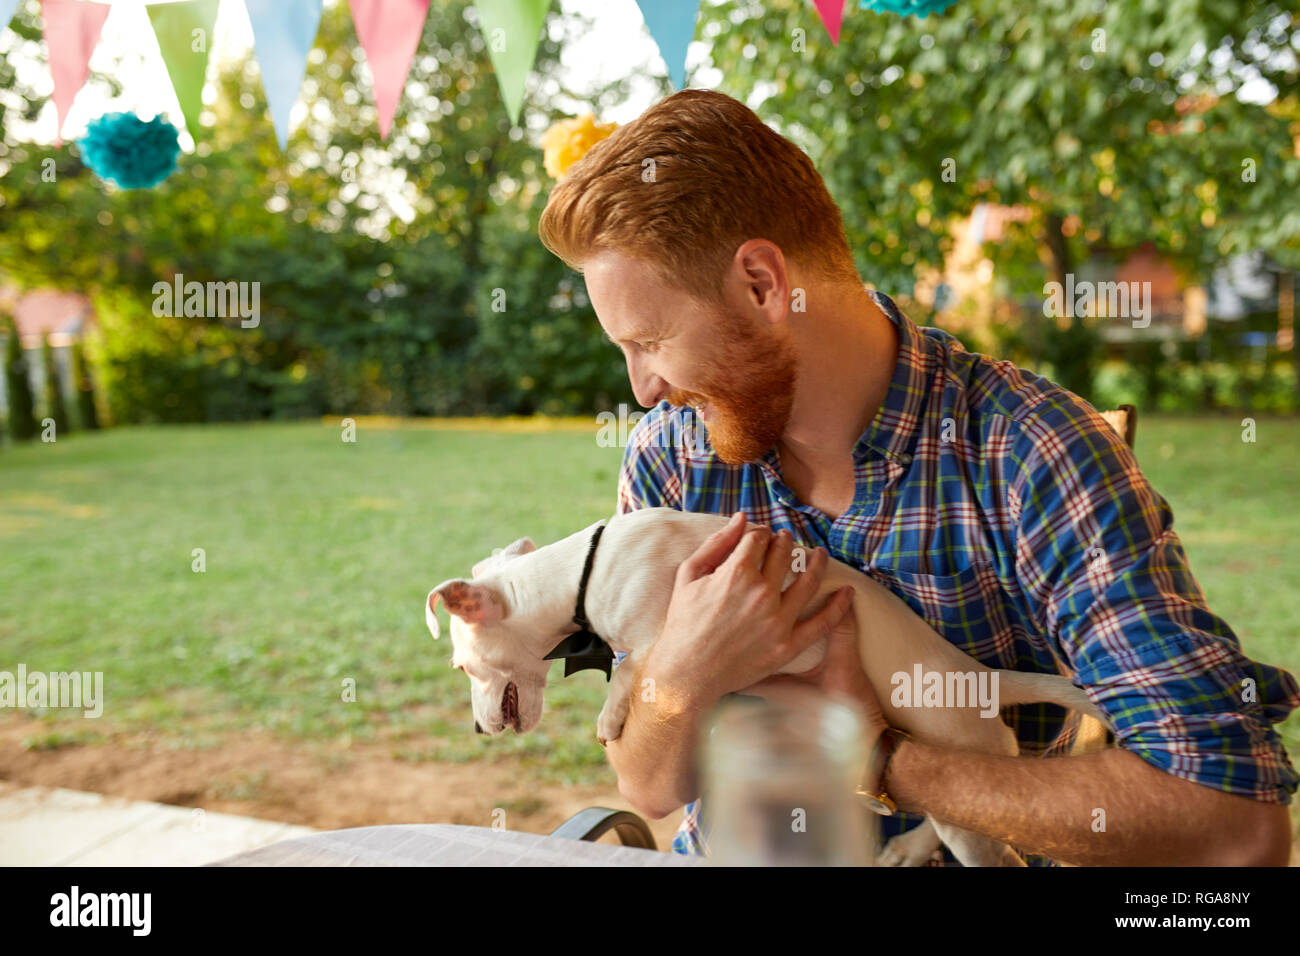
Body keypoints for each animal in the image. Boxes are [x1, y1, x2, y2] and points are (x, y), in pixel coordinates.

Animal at [426, 509, 1107, 868]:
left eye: (461, 668)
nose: (479, 728)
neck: (586, 571)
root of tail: (985, 679)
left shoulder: (656, 635)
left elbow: (632, 671)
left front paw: (611, 715)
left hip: (971, 810)